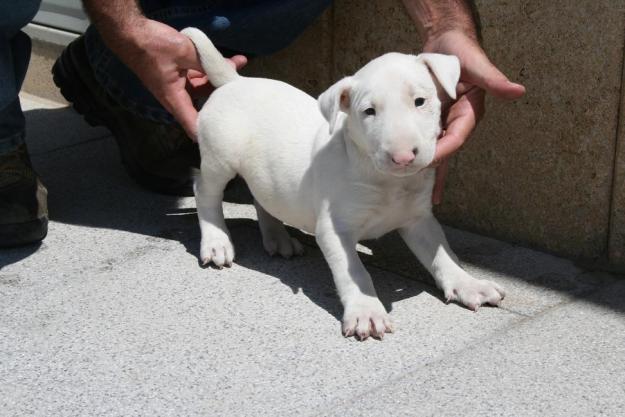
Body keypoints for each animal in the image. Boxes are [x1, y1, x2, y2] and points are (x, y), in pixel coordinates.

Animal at [183, 26, 504, 338]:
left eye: (420, 101)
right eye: (369, 111)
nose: (402, 157)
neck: (386, 181)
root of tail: (233, 82)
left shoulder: (418, 218)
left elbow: (443, 253)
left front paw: (469, 285)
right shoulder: (334, 228)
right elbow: (355, 271)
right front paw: (366, 312)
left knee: (263, 198)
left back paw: (278, 238)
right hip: (219, 158)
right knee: (204, 191)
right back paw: (216, 242)